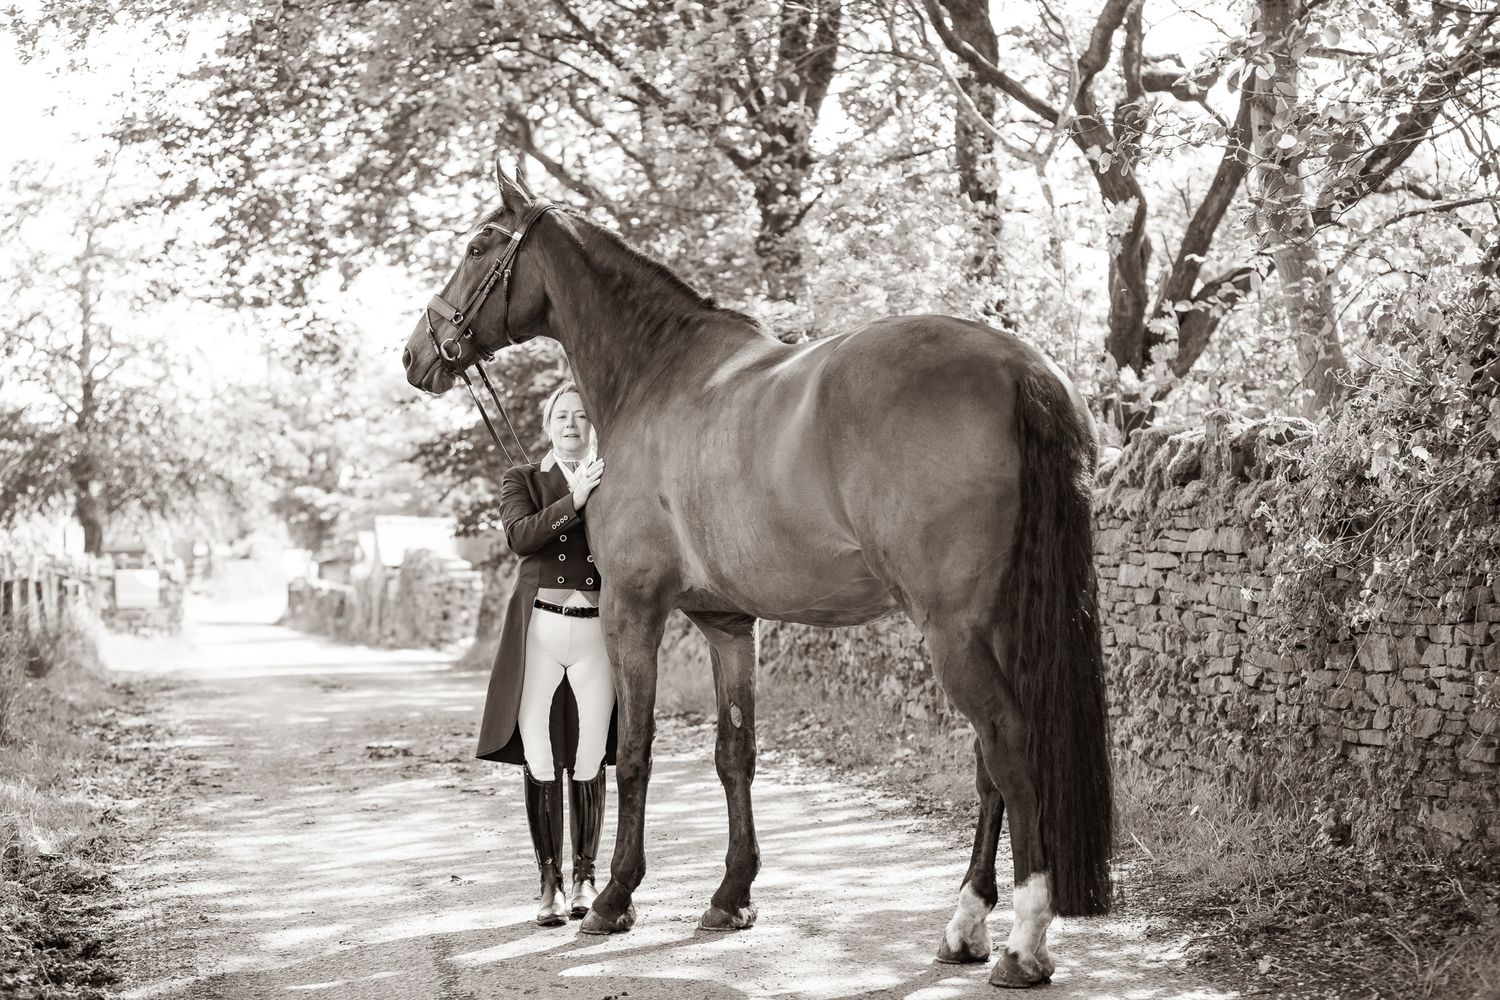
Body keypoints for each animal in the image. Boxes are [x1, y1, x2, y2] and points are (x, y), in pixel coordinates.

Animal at [402, 168, 1113, 989]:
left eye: (477, 245)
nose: (416, 353)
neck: (657, 379)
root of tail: (1021, 367)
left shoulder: (634, 611)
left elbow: (636, 754)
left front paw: (615, 900)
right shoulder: (729, 626)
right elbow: (734, 755)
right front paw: (732, 896)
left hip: (954, 629)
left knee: (1006, 744)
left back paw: (1023, 943)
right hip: (993, 625)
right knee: (988, 764)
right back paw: (965, 925)